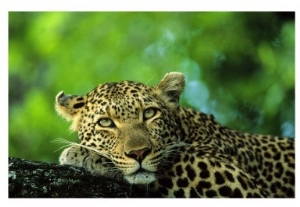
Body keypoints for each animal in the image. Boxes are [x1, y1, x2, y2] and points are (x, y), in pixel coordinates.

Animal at [55, 72, 294, 198]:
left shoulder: (240, 182)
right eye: (105, 123)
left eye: (149, 113)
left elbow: (173, 160)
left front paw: (84, 154)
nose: (139, 153)